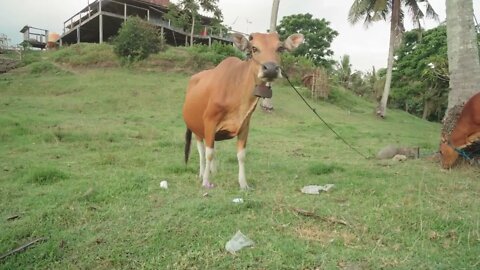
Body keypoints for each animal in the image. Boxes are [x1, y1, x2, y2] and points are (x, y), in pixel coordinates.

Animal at [184, 32, 304, 189]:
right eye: (254, 48)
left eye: (280, 48)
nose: (271, 68)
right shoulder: (209, 121)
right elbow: (208, 153)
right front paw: (205, 181)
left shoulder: (245, 125)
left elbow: (241, 155)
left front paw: (243, 184)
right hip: (196, 127)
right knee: (201, 150)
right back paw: (202, 172)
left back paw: (213, 171)